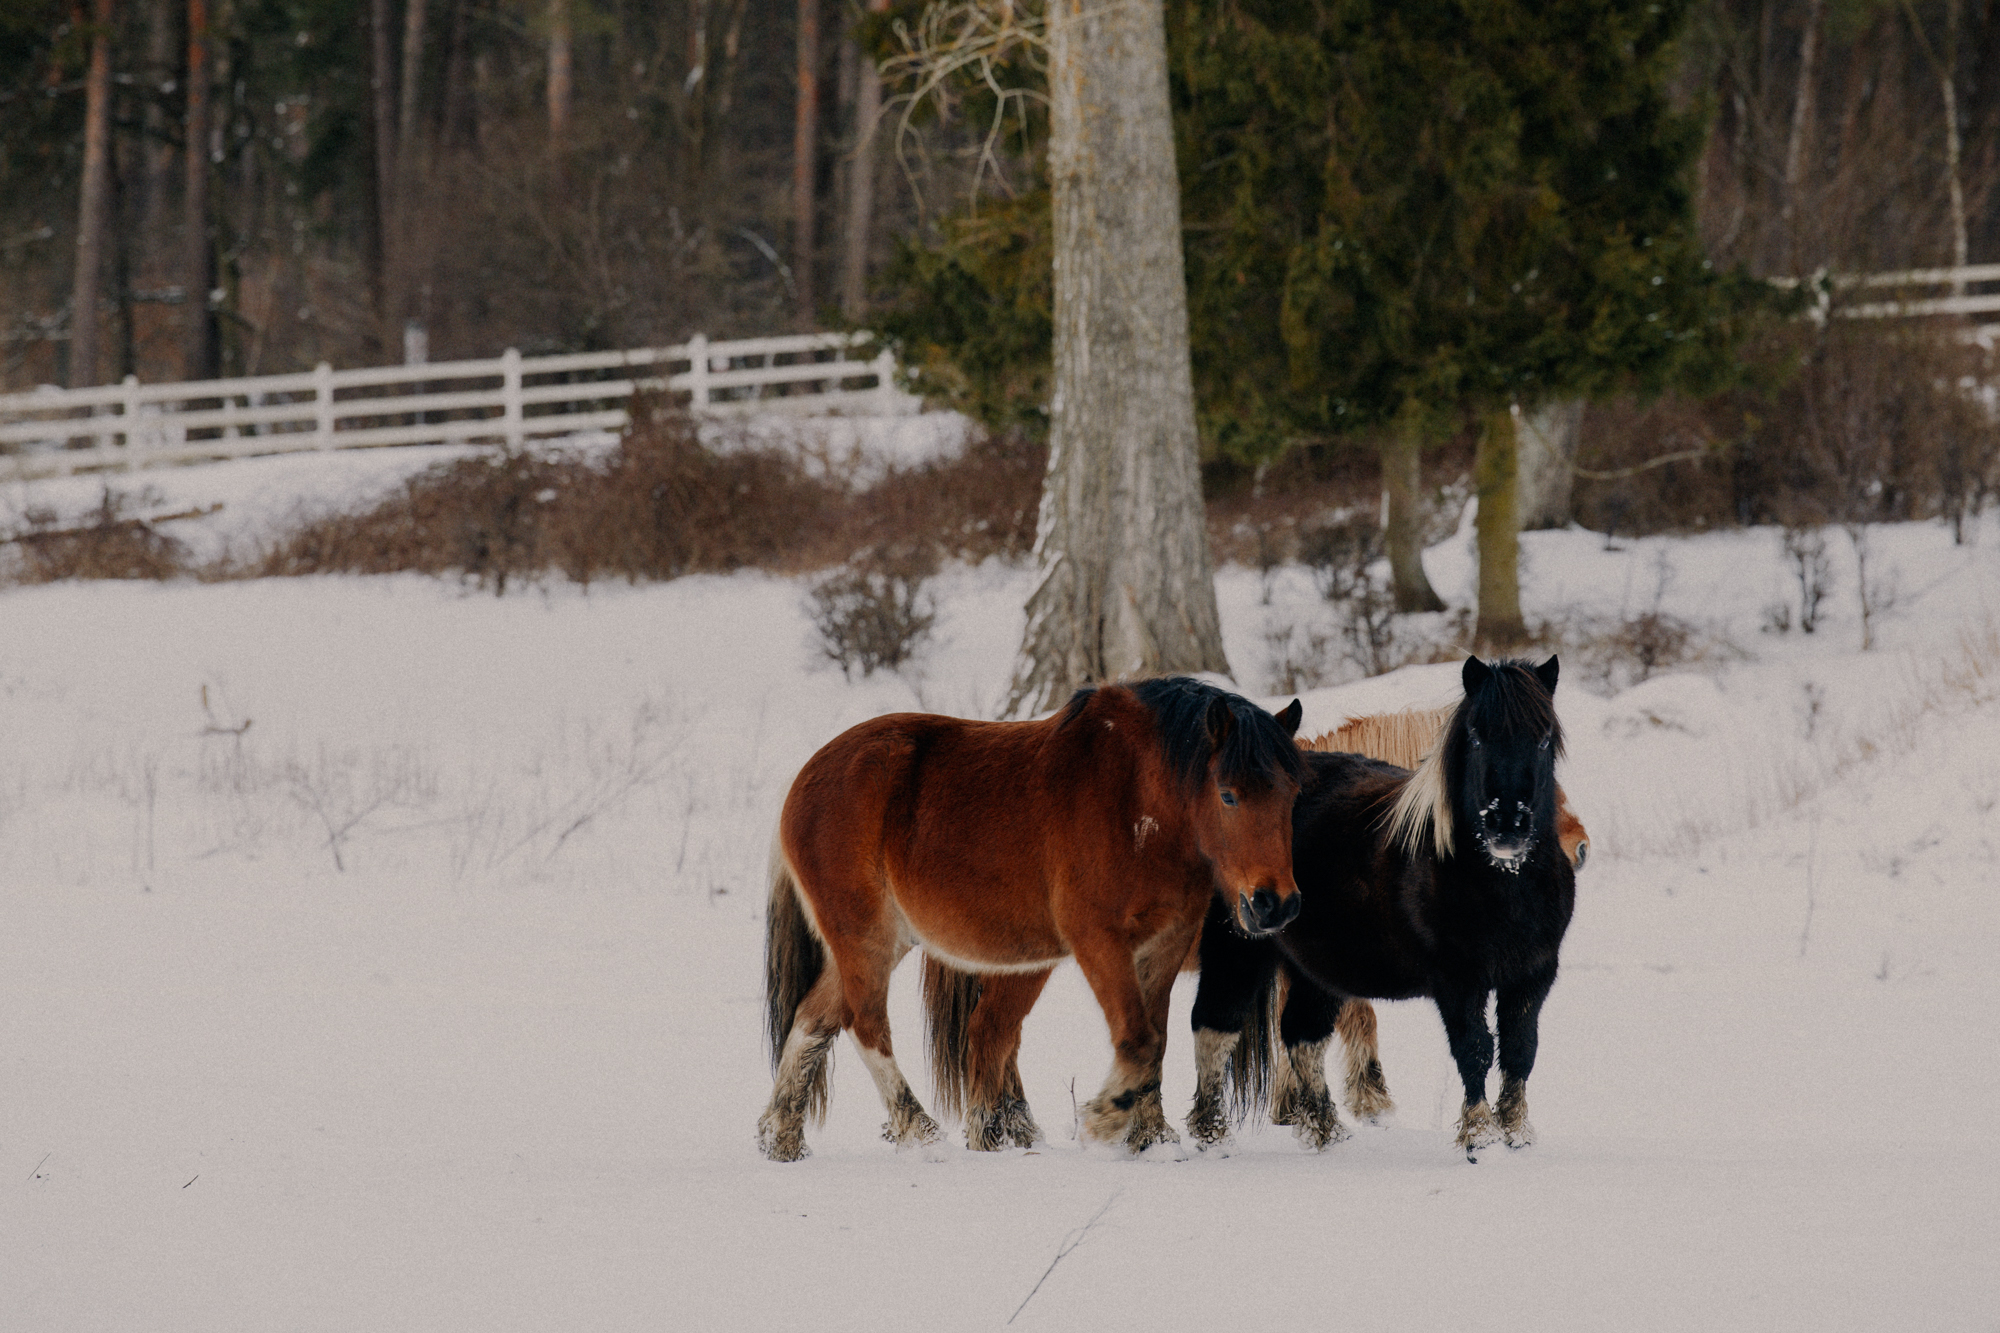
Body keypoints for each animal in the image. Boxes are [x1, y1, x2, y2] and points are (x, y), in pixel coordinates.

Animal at [756, 676, 1304, 1152]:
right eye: (1228, 794)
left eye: (1293, 794)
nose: (1274, 903)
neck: (1137, 803)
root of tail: (800, 783)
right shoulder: (1099, 941)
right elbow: (1138, 1040)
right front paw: (1104, 1119)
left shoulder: (1165, 945)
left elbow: (1158, 1042)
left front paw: (1150, 1138)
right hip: (864, 938)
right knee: (867, 1024)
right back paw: (921, 1134)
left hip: (888, 943)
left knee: (813, 1020)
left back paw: (780, 1138)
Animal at [1184, 652, 1576, 1152]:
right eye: (1475, 736)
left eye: (1544, 740)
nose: (1507, 825)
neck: (1502, 882)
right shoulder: (1458, 981)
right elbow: (1474, 1050)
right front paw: (1478, 1136)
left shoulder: (1532, 975)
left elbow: (1520, 1050)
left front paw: (1517, 1134)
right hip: (1238, 949)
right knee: (1214, 1027)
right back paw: (1211, 1134)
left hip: (1315, 969)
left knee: (1302, 1035)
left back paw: (1326, 1132)